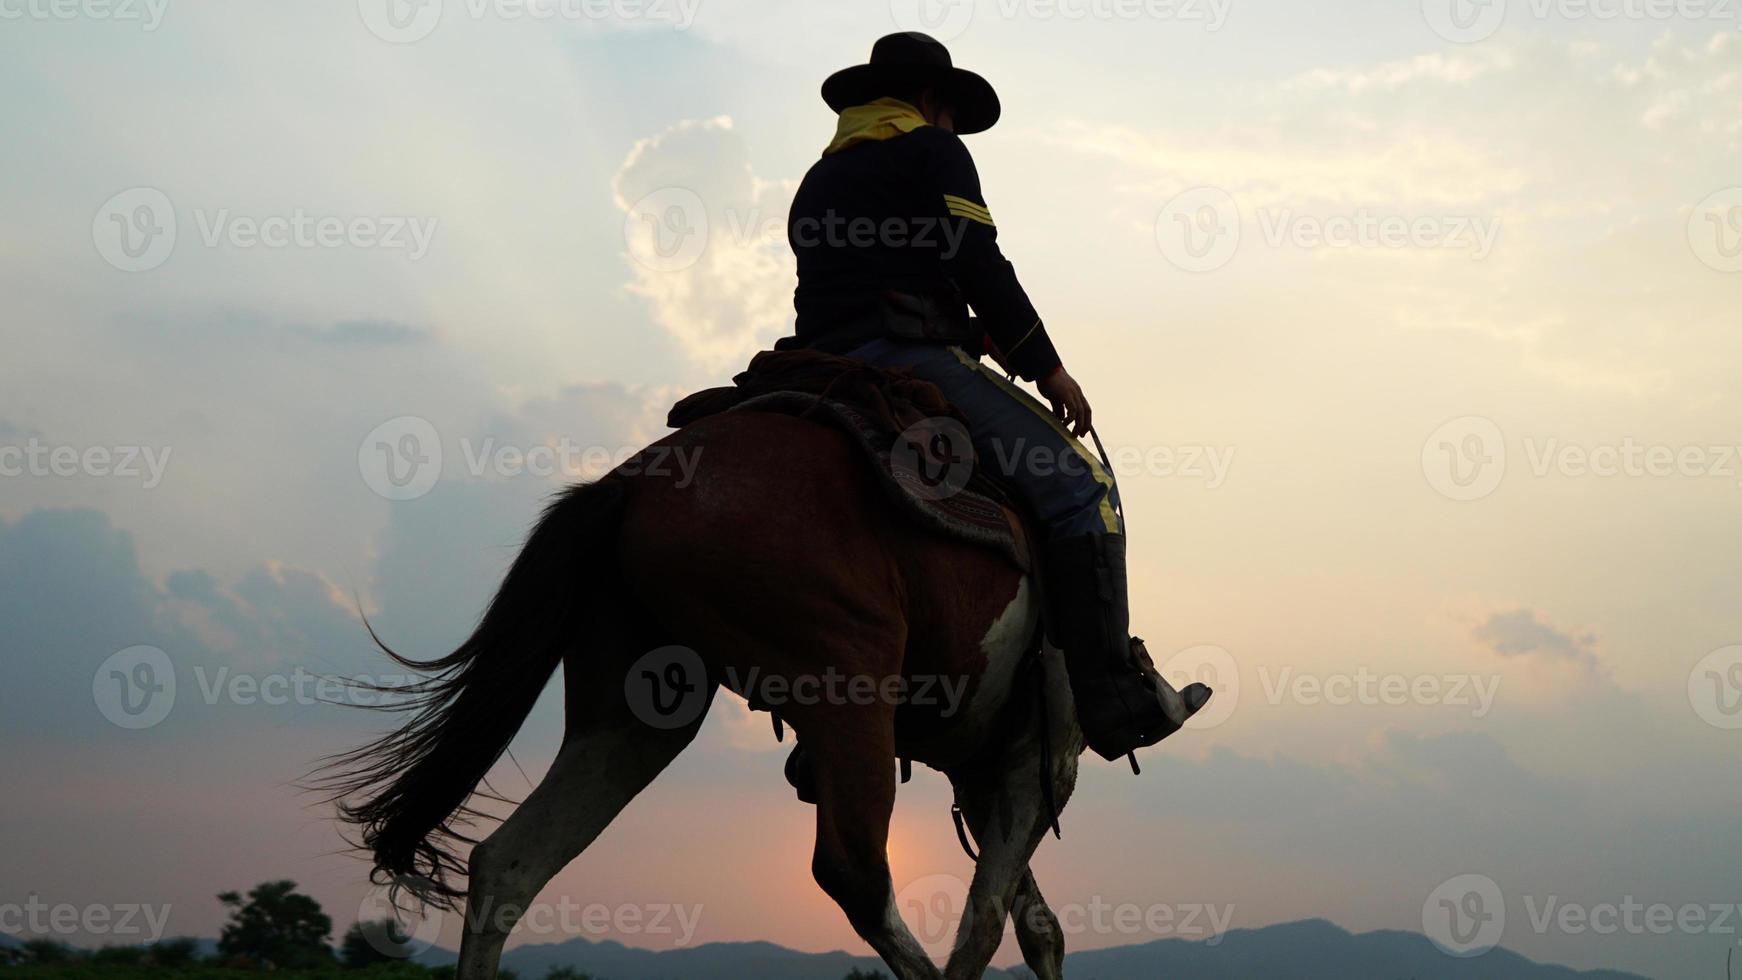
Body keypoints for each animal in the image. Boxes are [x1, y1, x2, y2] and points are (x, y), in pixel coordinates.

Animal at [315, 409, 1184, 980]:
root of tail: (629, 484)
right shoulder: (1043, 754)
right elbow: (987, 922)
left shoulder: (982, 766)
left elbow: (1032, 925)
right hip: (847, 687)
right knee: (855, 873)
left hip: (634, 716)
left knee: (508, 864)